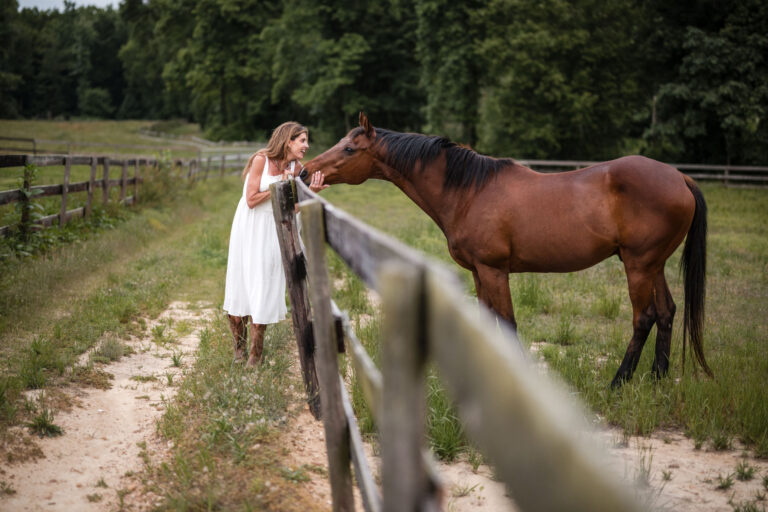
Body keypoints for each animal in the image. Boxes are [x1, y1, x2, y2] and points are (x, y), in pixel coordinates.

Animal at [304, 112, 712, 387]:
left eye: (350, 148)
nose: (307, 171)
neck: (470, 191)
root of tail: (680, 177)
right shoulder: (478, 273)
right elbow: (488, 323)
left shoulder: (494, 271)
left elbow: (508, 324)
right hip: (653, 265)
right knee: (667, 312)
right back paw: (657, 379)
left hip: (638, 266)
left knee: (644, 317)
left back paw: (619, 382)